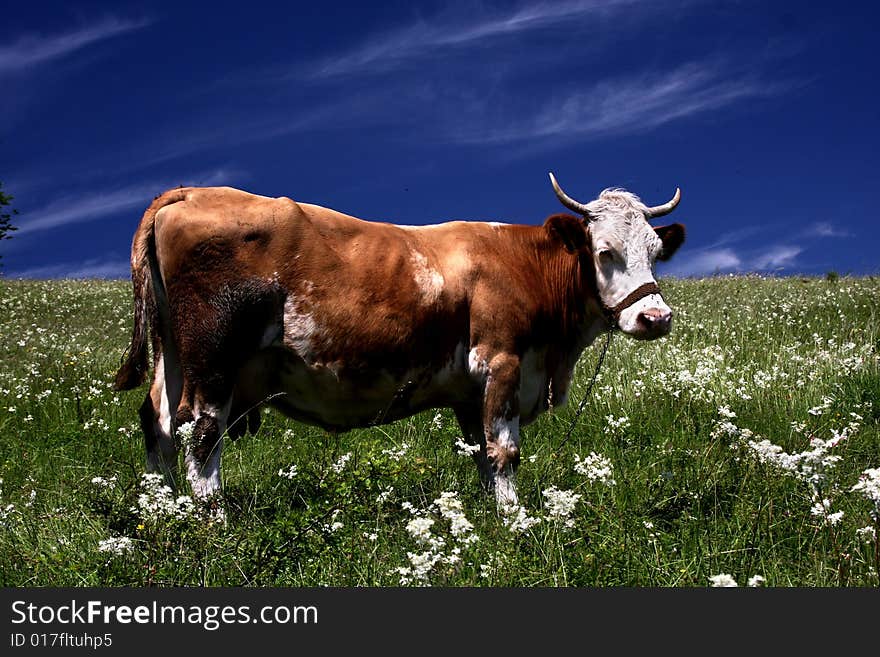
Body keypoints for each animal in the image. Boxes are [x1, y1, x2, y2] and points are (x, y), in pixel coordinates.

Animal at [111, 176, 688, 512]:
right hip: (212, 360)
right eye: (606, 251)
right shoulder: (501, 363)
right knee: (202, 437)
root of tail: (190, 191)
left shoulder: (468, 392)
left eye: (657, 251)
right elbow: (504, 451)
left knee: (158, 423)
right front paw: (516, 523)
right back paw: (215, 523)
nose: (655, 317)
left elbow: (482, 455)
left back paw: (160, 512)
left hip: (173, 356)